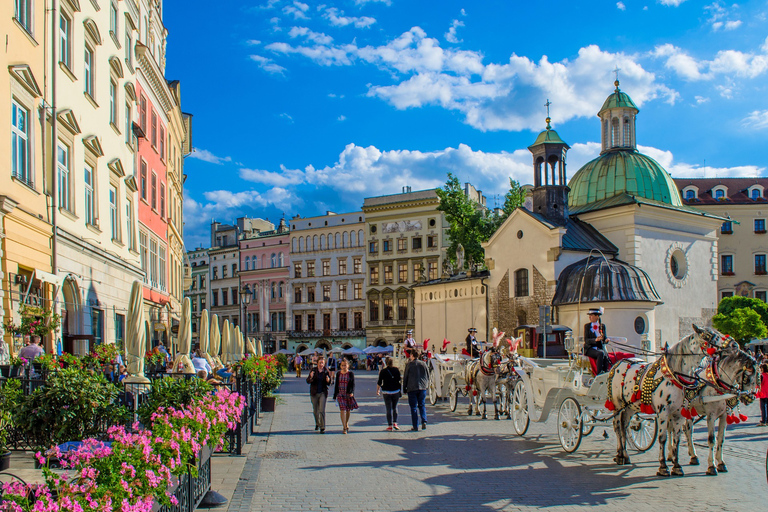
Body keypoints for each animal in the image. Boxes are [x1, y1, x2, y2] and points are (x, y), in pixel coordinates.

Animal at [608, 324, 728, 476]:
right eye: (708, 336)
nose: (732, 345)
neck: (674, 375)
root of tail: (618, 363)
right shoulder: (663, 412)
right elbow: (662, 438)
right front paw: (663, 466)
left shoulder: (679, 413)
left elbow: (677, 438)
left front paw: (676, 466)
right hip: (617, 406)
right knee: (617, 427)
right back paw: (619, 456)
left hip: (629, 407)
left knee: (624, 427)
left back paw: (625, 455)